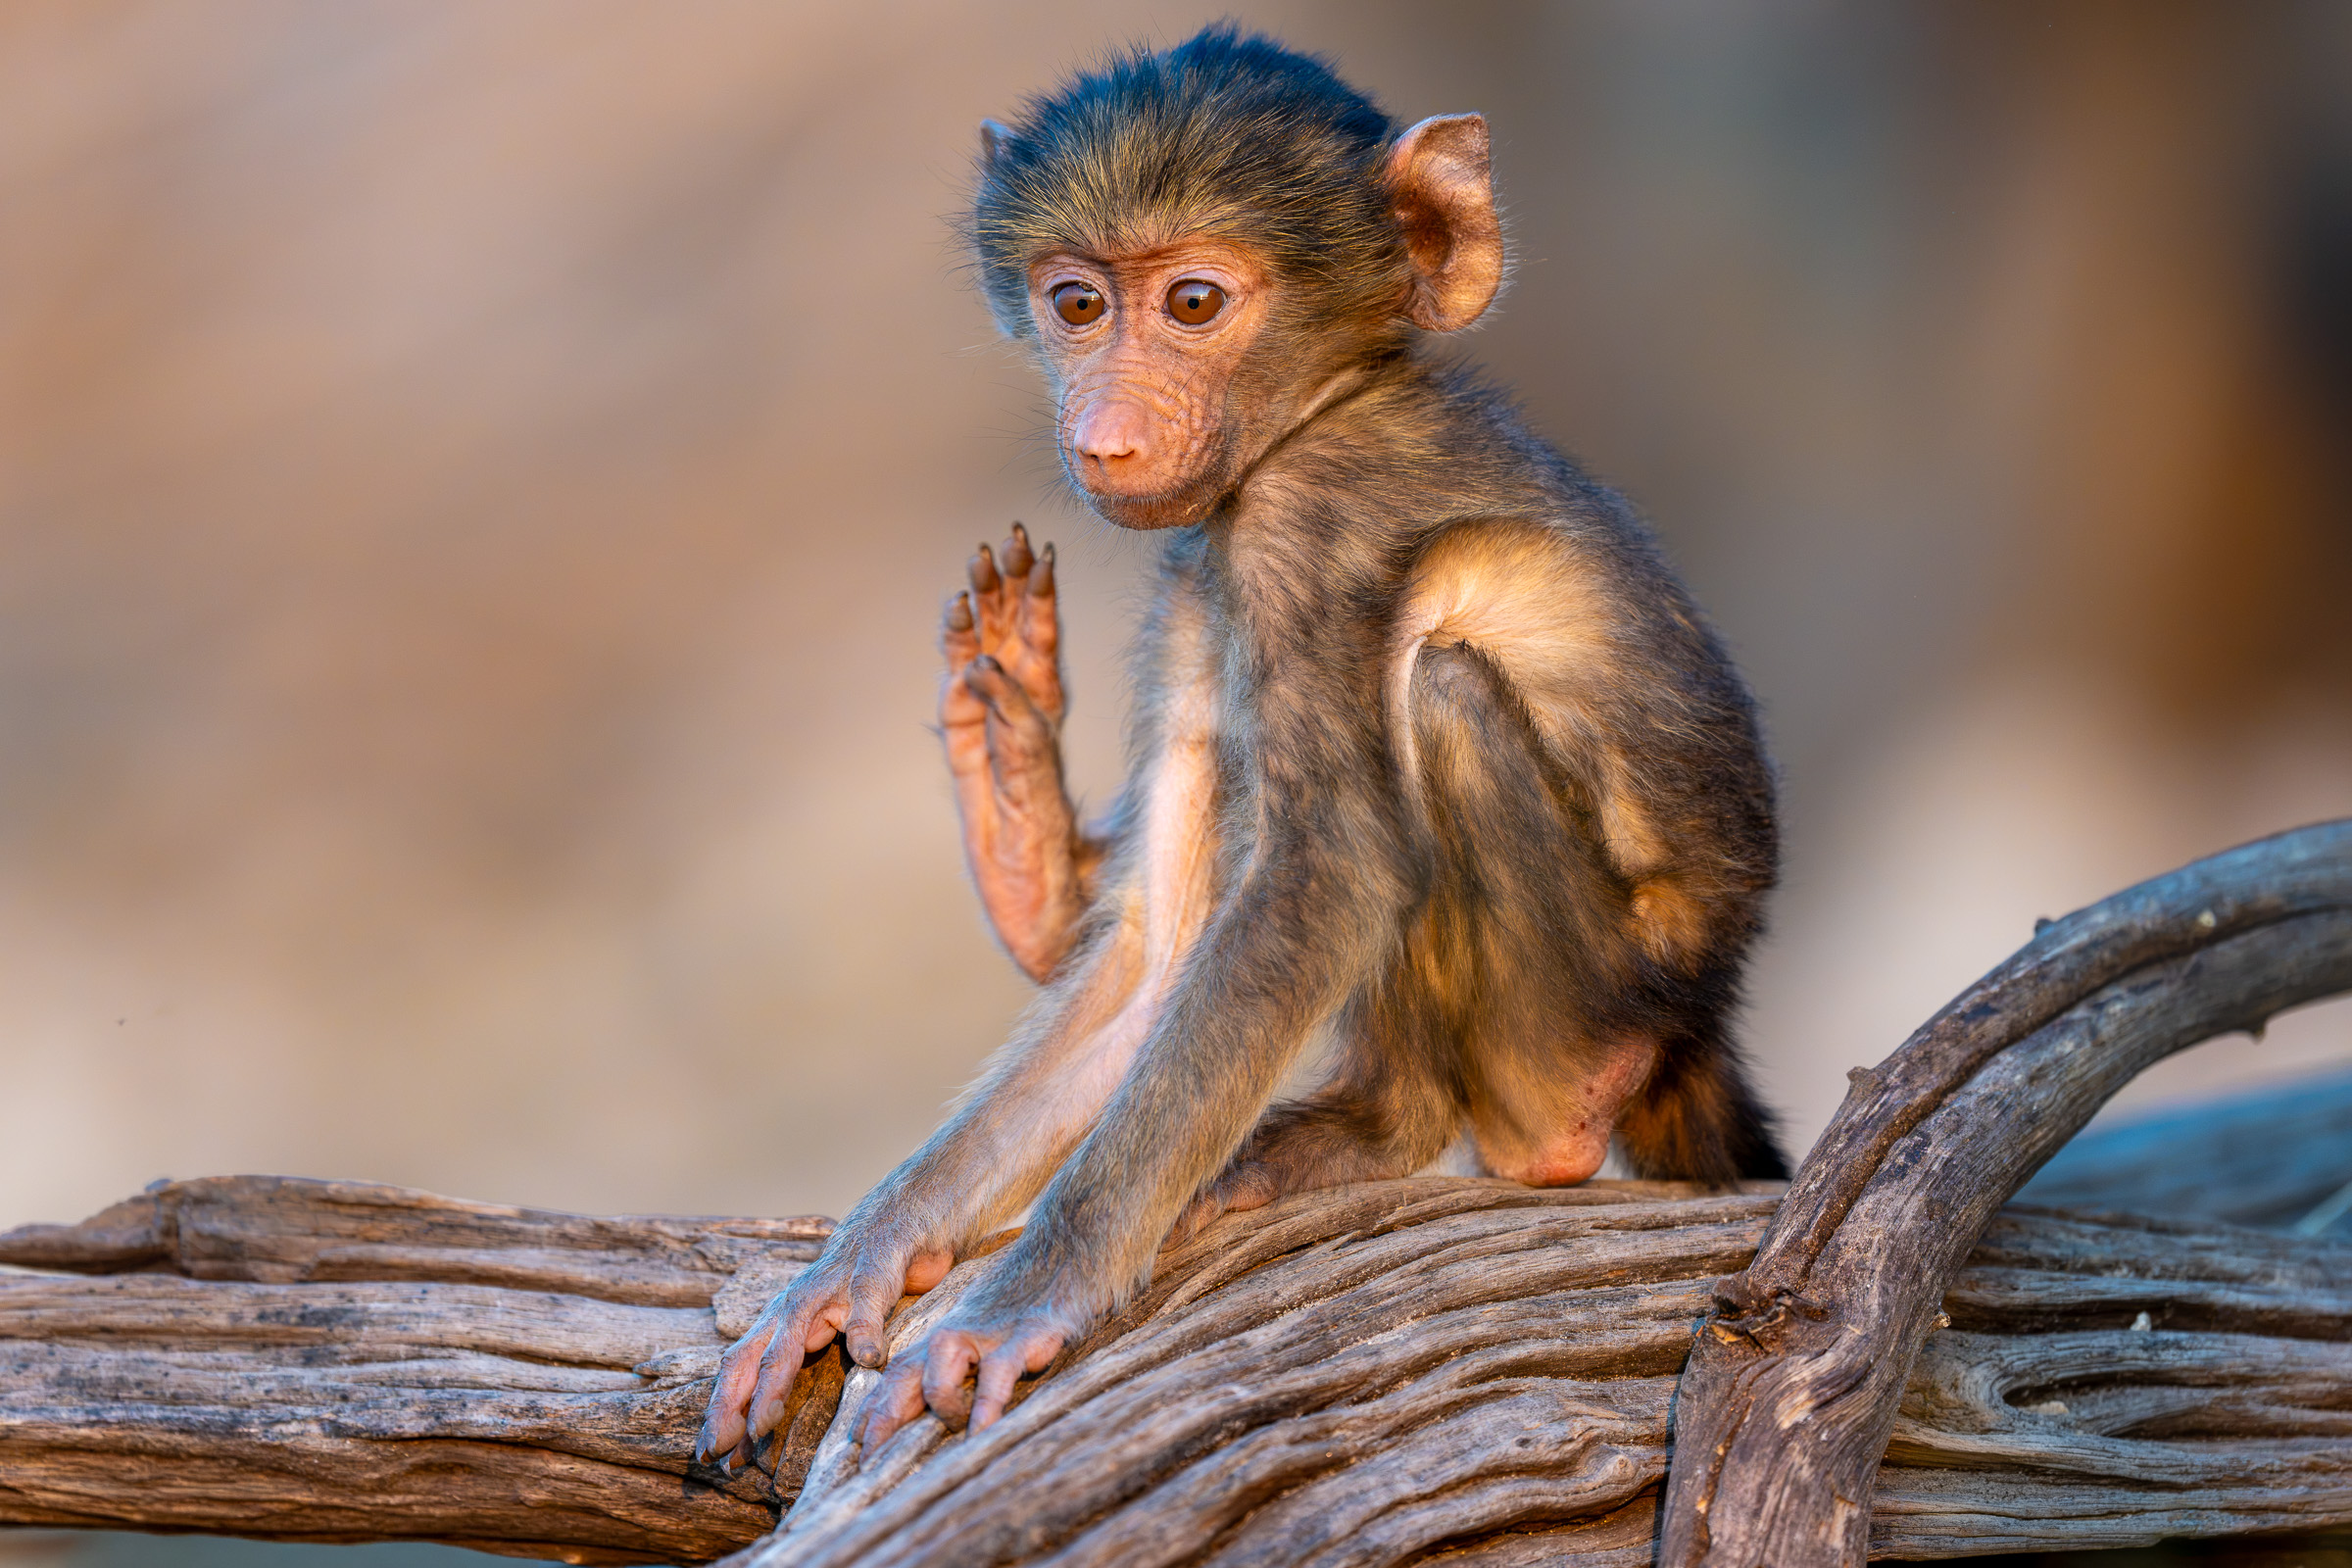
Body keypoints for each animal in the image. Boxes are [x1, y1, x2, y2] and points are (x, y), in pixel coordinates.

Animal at [696, 27, 1784, 1471]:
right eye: (1078, 305)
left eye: (1196, 303)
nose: (1103, 433)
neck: (1321, 411)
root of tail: (1694, 1018)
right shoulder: (1197, 580)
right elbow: (1160, 953)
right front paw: (848, 1271)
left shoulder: (1301, 540)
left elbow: (1327, 878)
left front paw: (1019, 1305)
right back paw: (1018, 832)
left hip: (1580, 1003)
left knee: (1436, 685)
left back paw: (1398, 1133)